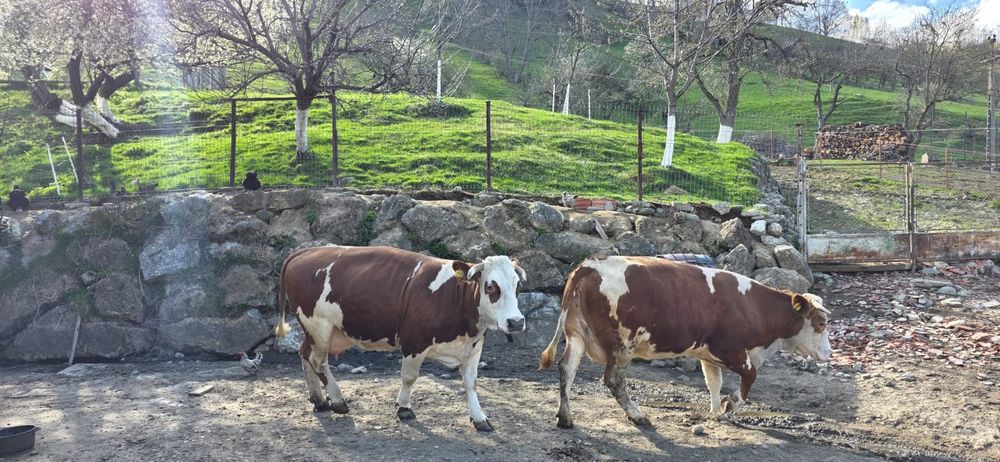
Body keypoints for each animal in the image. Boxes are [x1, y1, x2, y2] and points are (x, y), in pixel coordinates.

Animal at [273, 245, 527, 432]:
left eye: (517, 286)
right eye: (490, 286)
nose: (516, 321)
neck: (455, 297)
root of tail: (306, 251)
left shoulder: (474, 346)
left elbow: (471, 383)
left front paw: (479, 418)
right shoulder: (414, 342)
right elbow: (409, 377)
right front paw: (404, 408)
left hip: (315, 330)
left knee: (305, 353)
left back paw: (319, 400)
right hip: (319, 325)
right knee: (318, 361)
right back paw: (337, 401)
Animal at [538, 256, 831, 429]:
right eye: (820, 324)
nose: (829, 353)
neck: (755, 307)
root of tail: (590, 265)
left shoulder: (708, 355)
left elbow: (714, 383)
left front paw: (715, 412)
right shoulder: (732, 350)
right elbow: (749, 378)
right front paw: (730, 406)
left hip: (576, 334)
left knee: (567, 369)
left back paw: (565, 417)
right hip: (621, 345)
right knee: (613, 379)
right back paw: (637, 414)